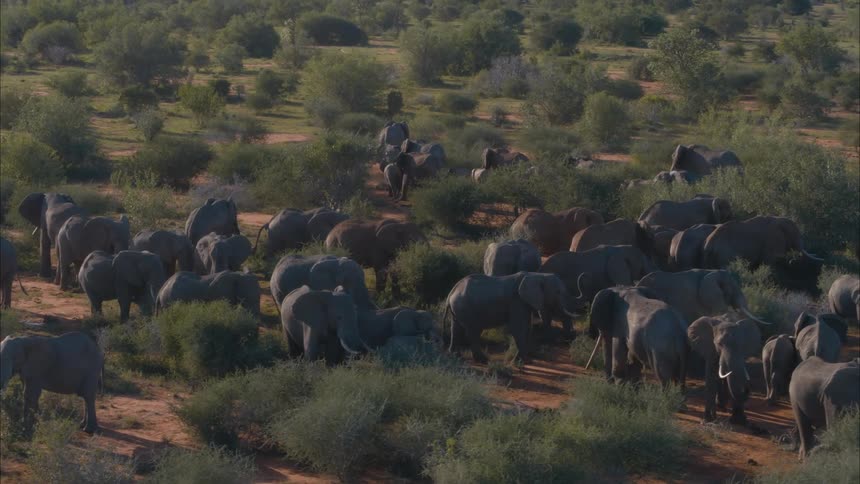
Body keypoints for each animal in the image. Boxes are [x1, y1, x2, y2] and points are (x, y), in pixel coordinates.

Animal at [444, 272, 579, 363]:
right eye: (558, 292)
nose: (569, 338)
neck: (538, 275)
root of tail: (451, 292)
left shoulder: (524, 303)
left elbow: (527, 327)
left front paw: (526, 359)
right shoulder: (516, 301)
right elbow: (518, 328)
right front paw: (519, 361)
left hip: (458, 308)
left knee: (455, 329)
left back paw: (455, 355)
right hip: (466, 308)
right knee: (473, 332)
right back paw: (483, 360)